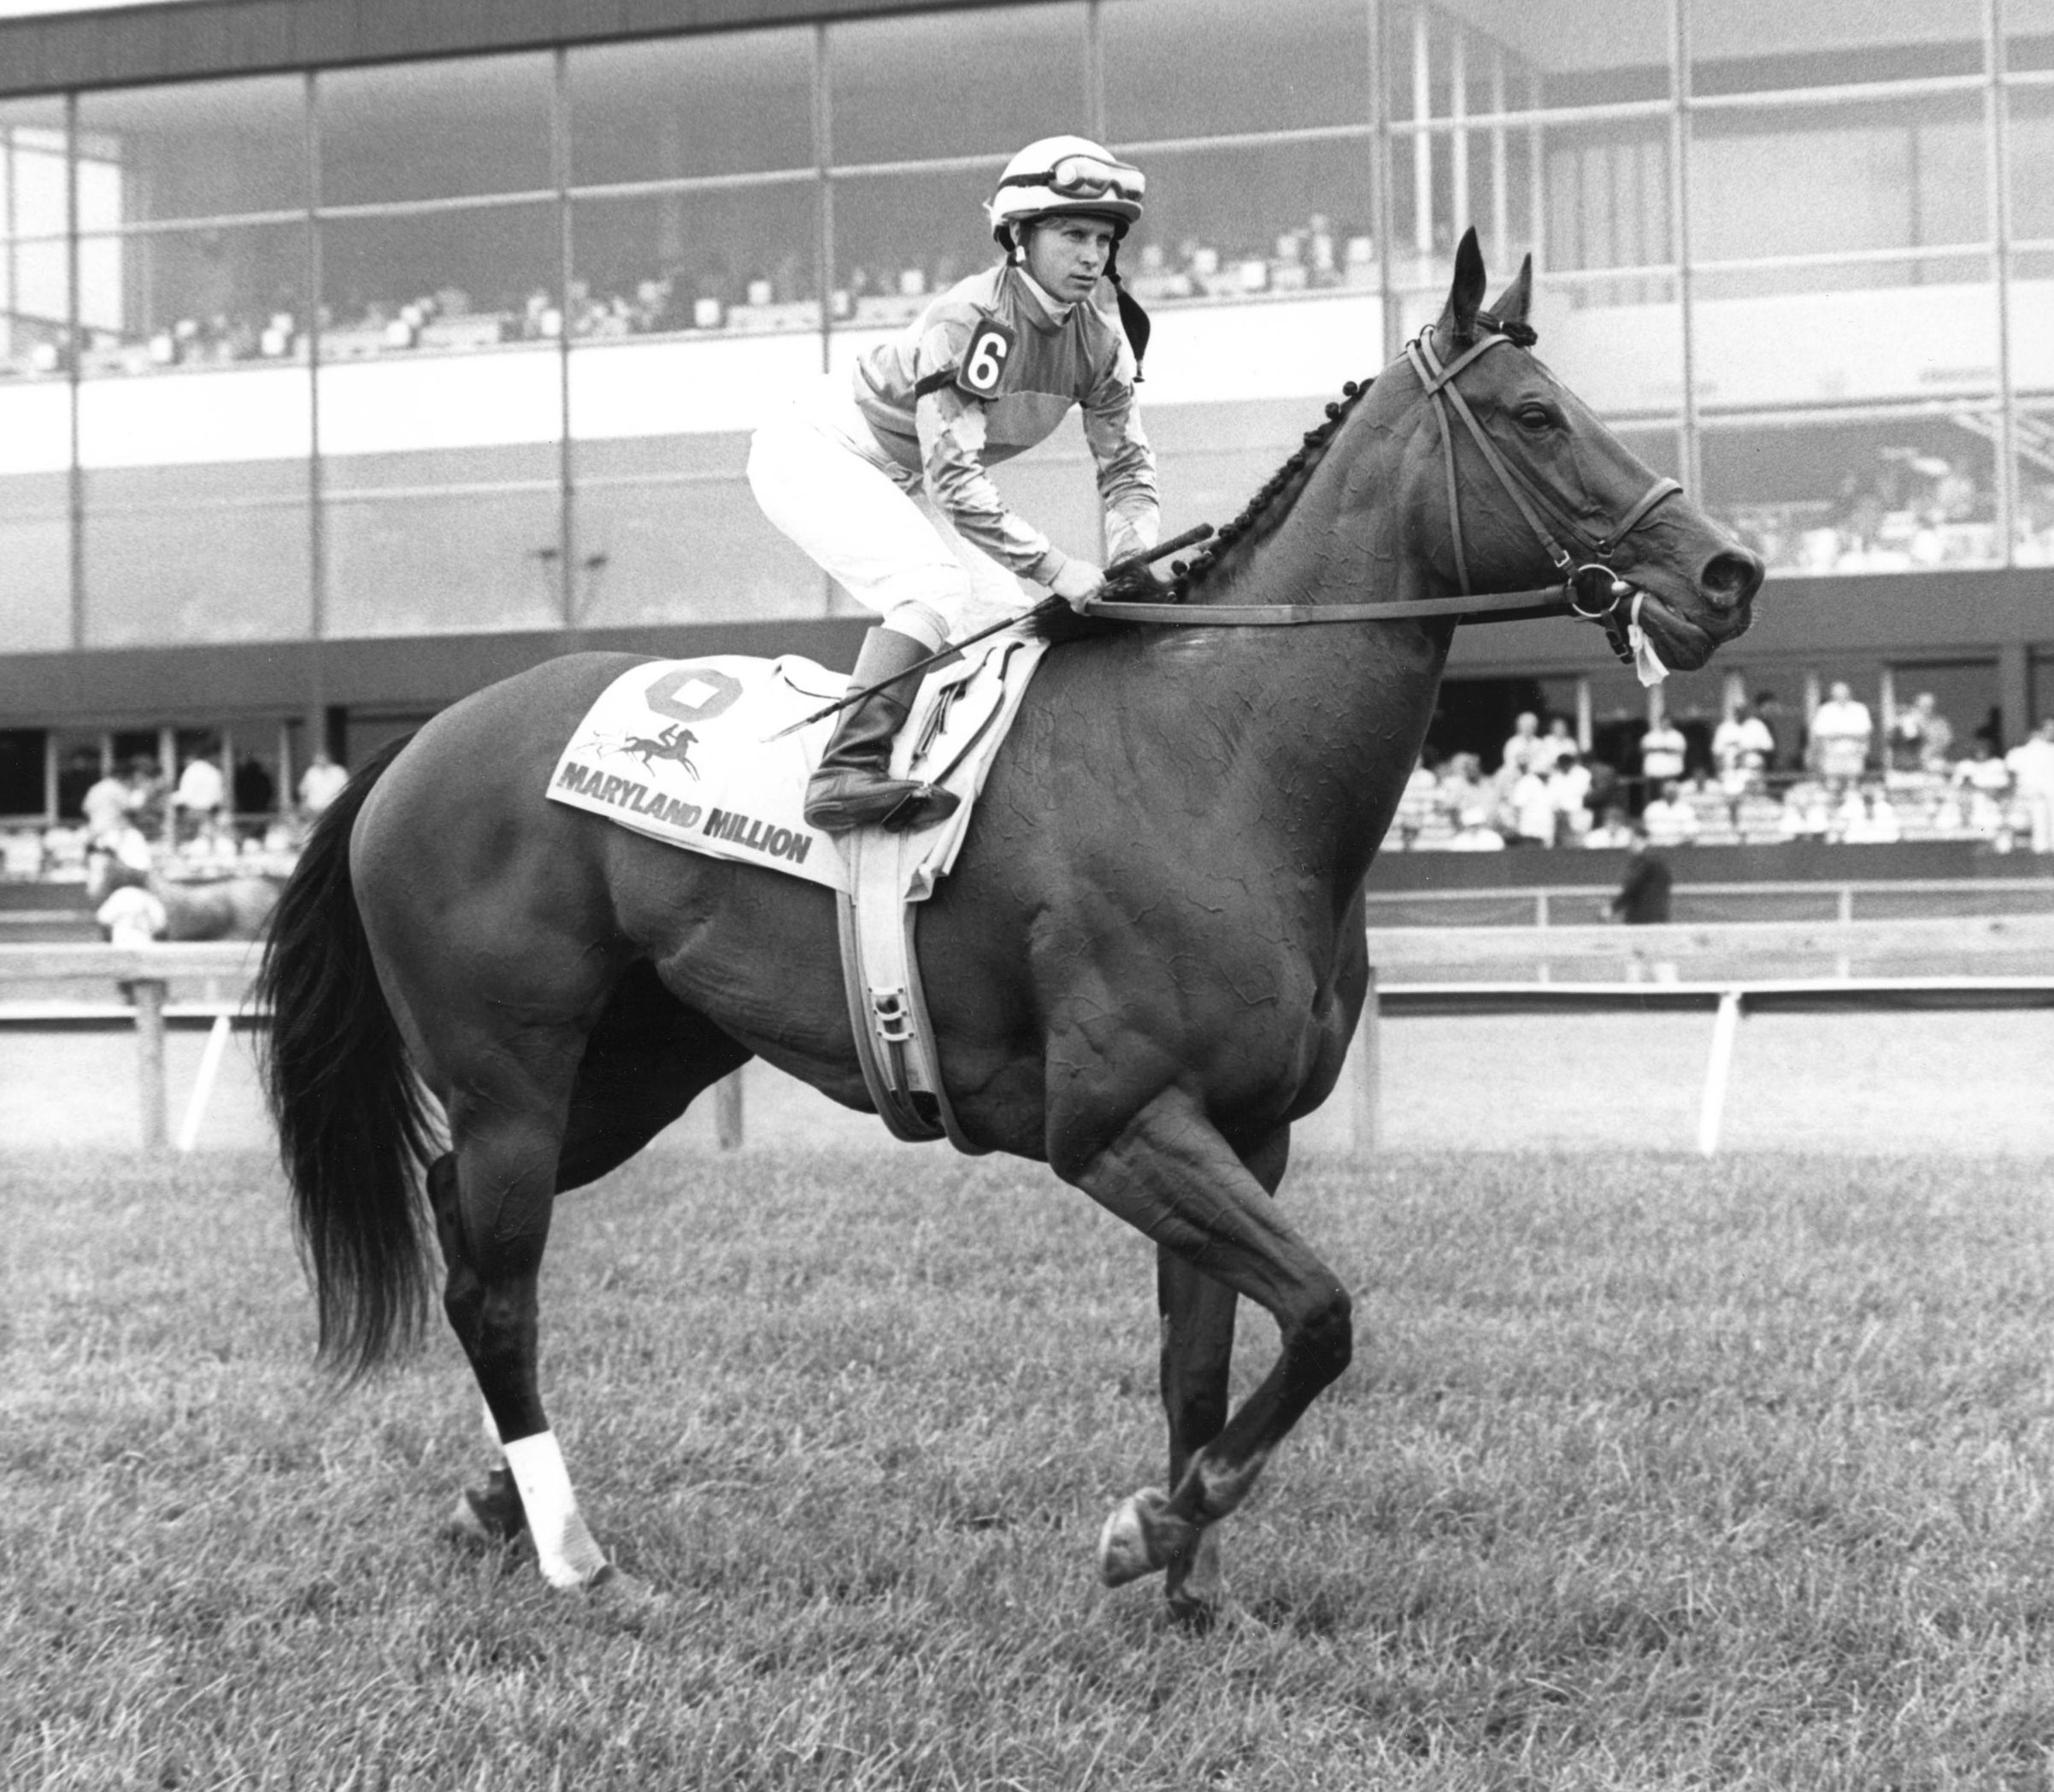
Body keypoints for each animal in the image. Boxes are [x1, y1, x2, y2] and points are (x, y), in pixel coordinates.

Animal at [256, 238, 1766, 1625]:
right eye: (1534, 415)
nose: (1728, 571)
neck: (1216, 758)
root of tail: (409, 750)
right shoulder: (1114, 1122)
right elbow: (1323, 1317)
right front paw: (1151, 1527)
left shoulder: (1242, 1129)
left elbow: (1205, 1361)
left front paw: (1184, 1582)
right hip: (511, 1069)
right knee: (498, 1285)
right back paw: (576, 1554)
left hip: (636, 1067)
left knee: (461, 1226)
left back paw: (493, 1502)